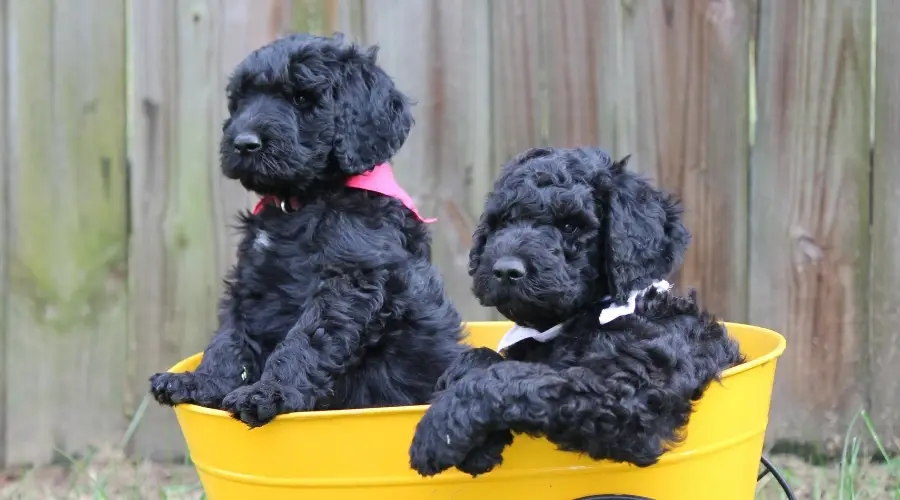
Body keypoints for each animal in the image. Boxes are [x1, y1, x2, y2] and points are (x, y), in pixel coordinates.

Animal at [148, 33, 464, 428]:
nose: (243, 143)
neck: (300, 203)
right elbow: (230, 336)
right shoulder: (252, 279)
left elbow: (306, 338)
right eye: (242, 100)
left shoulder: (350, 279)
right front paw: (201, 381)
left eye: (301, 98)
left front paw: (268, 392)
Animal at [410, 146, 744, 476]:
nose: (505, 270)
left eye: (570, 226)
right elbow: (487, 358)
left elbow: (518, 375)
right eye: (502, 222)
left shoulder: (625, 396)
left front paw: (442, 428)